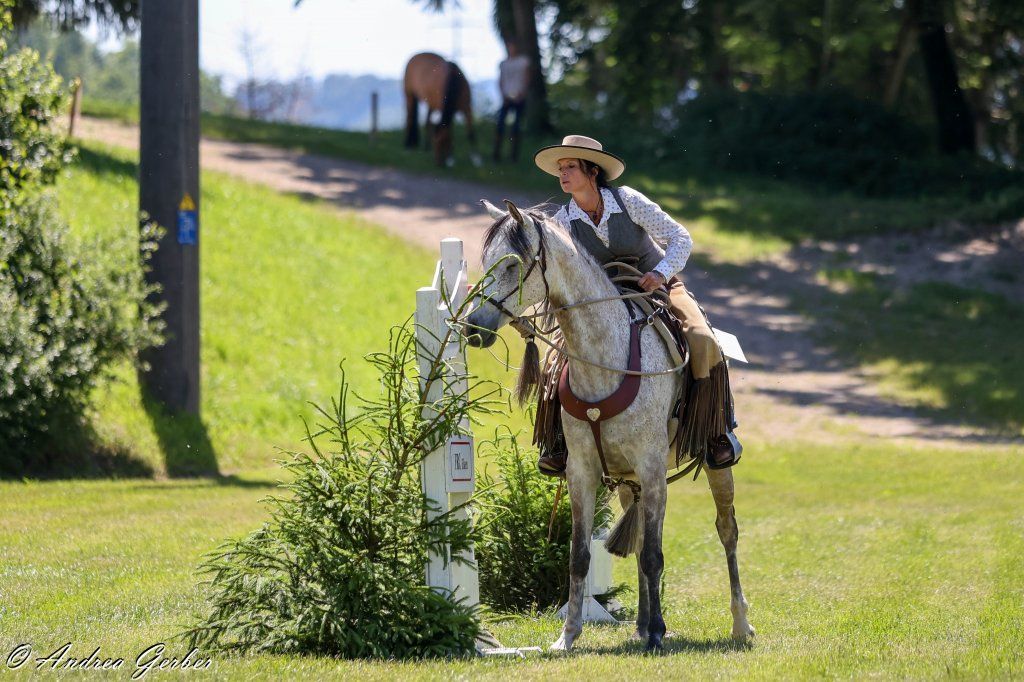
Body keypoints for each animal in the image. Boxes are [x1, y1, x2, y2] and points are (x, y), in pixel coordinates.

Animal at [465, 199, 755, 652]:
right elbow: (581, 555)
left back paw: (739, 625)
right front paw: (568, 637)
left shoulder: (651, 468)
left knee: (727, 531)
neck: (608, 357)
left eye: (512, 265)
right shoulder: (581, 470)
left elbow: (654, 554)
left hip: (712, 465)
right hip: (626, 482)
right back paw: (641, 625)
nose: (472, 327)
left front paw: (657, 634)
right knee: (639, 541)